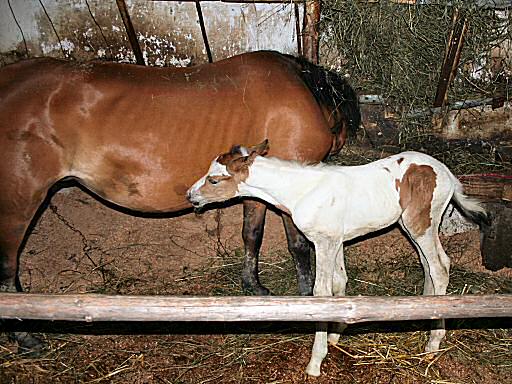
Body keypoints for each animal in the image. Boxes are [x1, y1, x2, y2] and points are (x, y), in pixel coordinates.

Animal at [1, 50, 360, 352]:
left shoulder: (254, 189)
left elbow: (251, 236)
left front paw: (253, 286)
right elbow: (298, 246)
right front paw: (308, 298)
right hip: (18, 204)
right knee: (7, 266)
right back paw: (25, 336)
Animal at [187, 140, 488, 376]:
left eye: (214, 179)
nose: (190, 196)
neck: (302, 191)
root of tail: (447, 173)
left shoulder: (324, 241)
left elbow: (322, 292)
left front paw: (315, 362)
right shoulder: (337, 240)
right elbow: (339, 284)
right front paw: (335, 334)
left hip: (421, 223)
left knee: (440, 267)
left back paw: (432, 343)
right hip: (409, 225)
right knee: (428, 265)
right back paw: (422, 313)